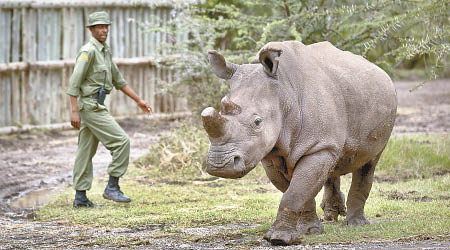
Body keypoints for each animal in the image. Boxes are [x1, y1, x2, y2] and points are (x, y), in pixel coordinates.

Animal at [202, 40, 396, 245]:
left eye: (257, 122)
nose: (219, 165)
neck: (283, 93)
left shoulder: (317, 147)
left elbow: (295, 193)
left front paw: (279, 239)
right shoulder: (270, 154)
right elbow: (300, 191)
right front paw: (309, 230)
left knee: (369, 162)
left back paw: (355, 224)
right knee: (334, 160)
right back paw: (332, 214)